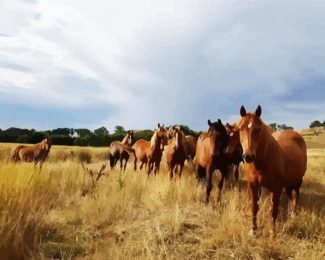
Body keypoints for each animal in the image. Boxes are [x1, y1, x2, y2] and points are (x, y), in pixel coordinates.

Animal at [237, 105, 306, 236]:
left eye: (258, 129)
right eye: (240, 129)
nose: (248, 156)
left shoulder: (276, 188)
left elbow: (273, 210)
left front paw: (272, 232)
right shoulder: (253, 185)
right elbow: (254, 207)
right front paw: (253, 231)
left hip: (297, 181)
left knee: (296, 195)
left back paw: (293, 213)